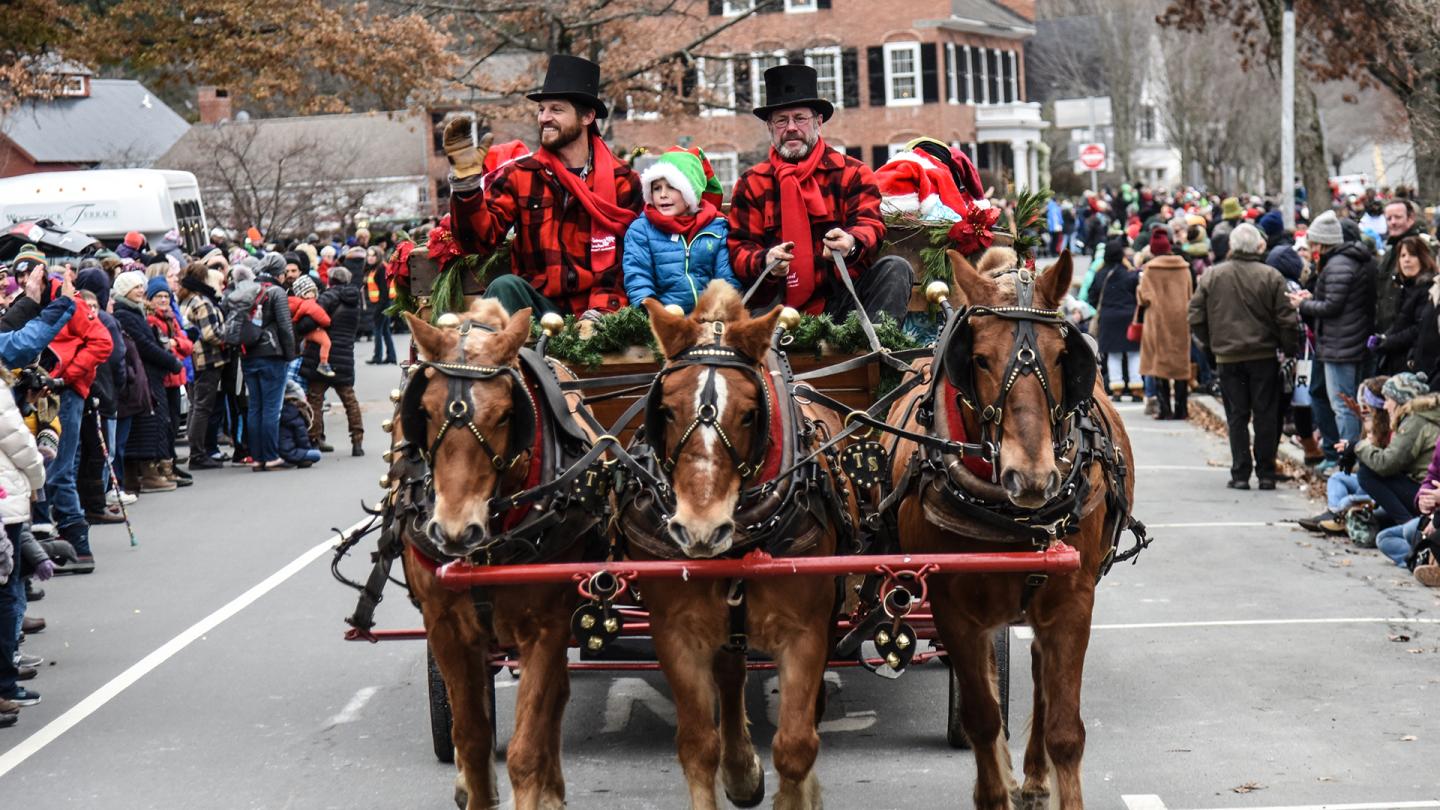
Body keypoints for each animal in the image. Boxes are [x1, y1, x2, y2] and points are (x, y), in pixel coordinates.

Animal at [388, 299, 601, 801]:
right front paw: (472, 785)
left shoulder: (547, 627)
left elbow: (527, 748)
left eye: (506, 414)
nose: (454, 531)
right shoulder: (445, 627)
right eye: (424, 410)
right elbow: (471, 737)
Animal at [619, 283, 852, 807]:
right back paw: (742, 770)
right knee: (730, 672)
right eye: (666, 409)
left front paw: (799, 791)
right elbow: (697, 746)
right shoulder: (676, 632)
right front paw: (732, 767)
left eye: (749, 414)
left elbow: (795, 745)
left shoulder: (806, 630)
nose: (700, 529)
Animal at [881, 249, 1140, 801]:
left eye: (1064, 356)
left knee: (1042, 674)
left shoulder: (1072, 600)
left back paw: (1038, 777)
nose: (1032, 476)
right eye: (978, 358)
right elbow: (982, 718)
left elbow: (1065, 729)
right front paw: (993, 790)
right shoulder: (953, 608)